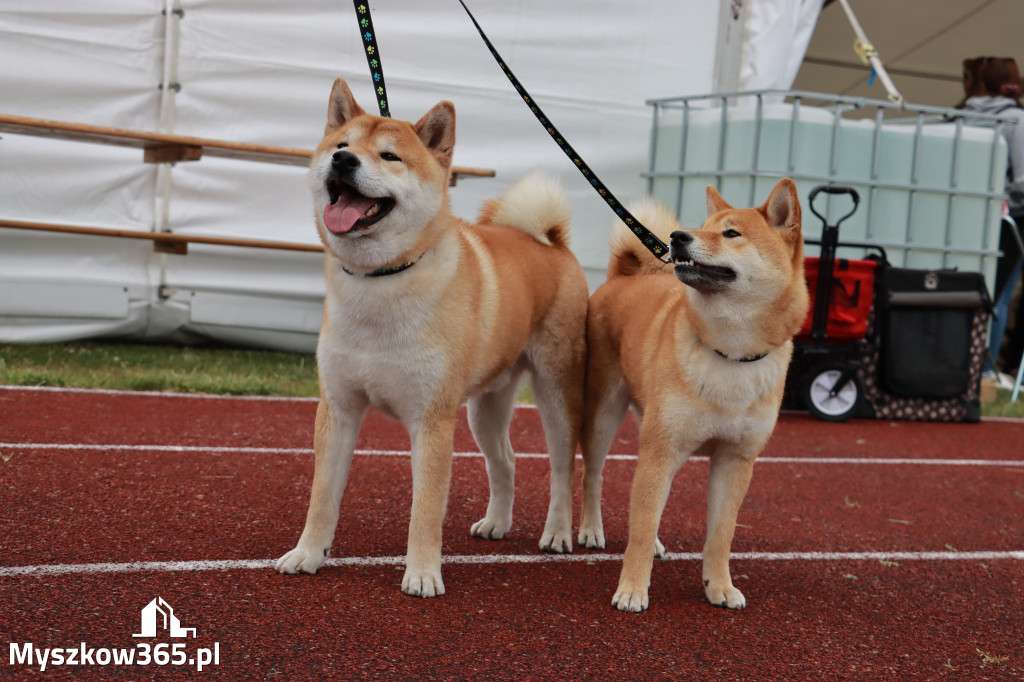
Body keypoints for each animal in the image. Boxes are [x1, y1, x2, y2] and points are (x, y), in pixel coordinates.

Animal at [276, 78, 589, 593]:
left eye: (389, 156)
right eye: (341, 146)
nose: (344, 162)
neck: (381, 281)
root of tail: (551, 242)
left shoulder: (433, 420)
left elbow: (425, 510)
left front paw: (422, 574)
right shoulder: (338, 408)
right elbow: (321, 497)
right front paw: (308, 553)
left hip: (556, 395)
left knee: (562, 468)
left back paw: (559, 533)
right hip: (485, 408)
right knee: (505, 461)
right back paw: (496, 523)